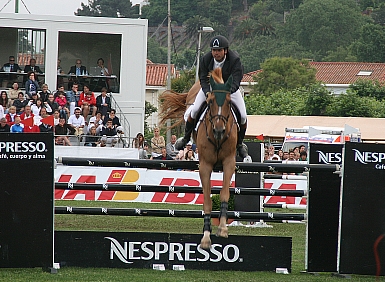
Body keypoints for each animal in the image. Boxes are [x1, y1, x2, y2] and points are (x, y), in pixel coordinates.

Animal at [159, 69, 237, 249]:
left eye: (229, 102)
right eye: (211, 101)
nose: (219, 131)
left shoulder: (229, 163)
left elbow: (224, 194)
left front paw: (222, 228)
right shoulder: (205, 166)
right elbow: (207, 200)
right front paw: (206, 237)